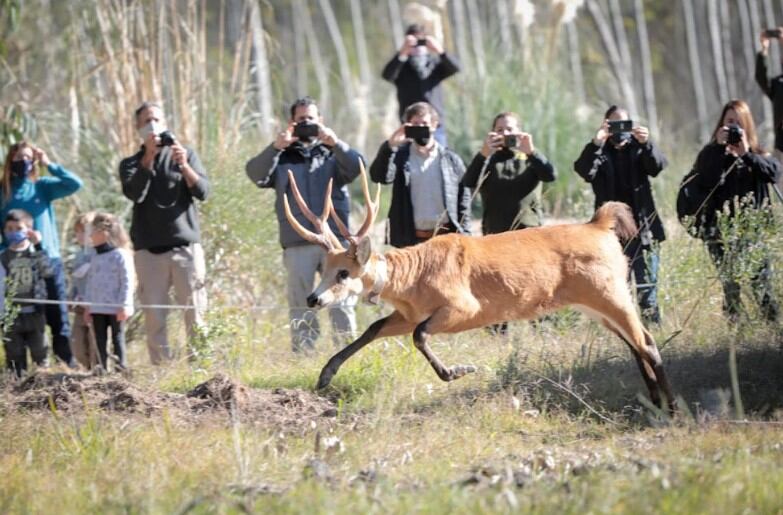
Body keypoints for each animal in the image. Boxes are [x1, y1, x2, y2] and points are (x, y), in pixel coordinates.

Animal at [284, 164, 676, 412]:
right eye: (325, 268)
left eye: (344, 272)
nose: (313, 298)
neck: (415, 277)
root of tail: (600, 225)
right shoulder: (409, 313)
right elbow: (376, 328)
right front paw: (325, 375)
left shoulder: (465, 307)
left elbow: (419, 335)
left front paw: (458, 371)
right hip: (595, 302)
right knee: (636, 344)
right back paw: (655, 404)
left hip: (609, 291)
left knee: (647, 342)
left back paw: (672, 409)